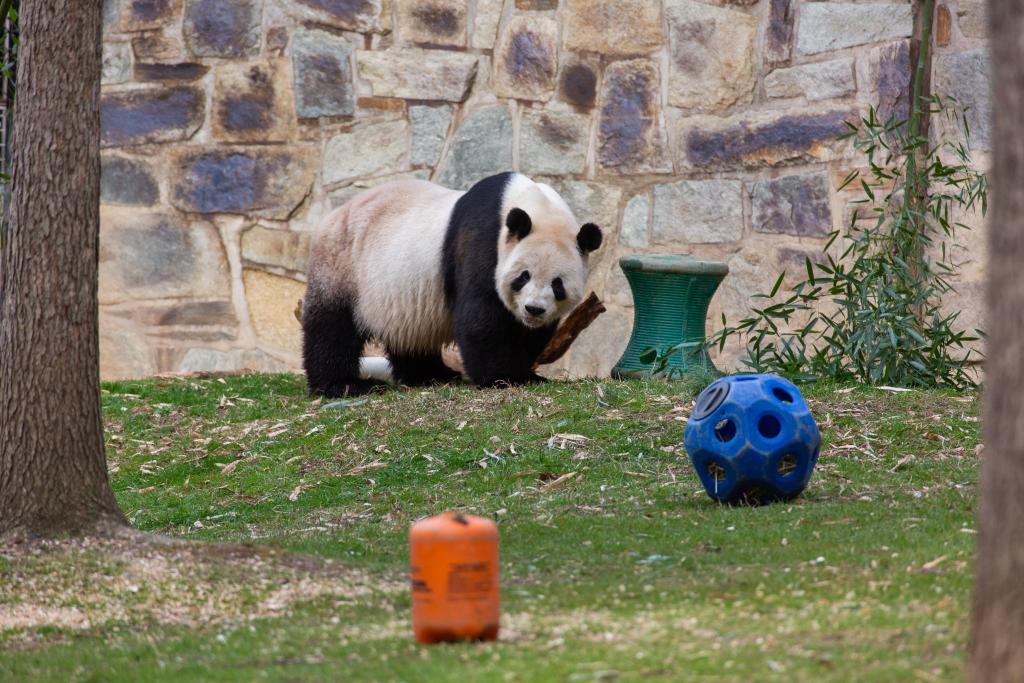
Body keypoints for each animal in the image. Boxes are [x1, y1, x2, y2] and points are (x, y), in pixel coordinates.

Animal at [301, 171, 598, 397]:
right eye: (523, 276)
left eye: (557, 284)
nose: (533, 310)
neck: (536, 206)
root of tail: (331, 217)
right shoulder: (483, 243)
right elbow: (482, 318)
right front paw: (502, 377)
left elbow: (530, 334)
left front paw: (526, 372)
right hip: (342, 266)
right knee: (332, 327)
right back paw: (344, 384)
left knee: (410, 335)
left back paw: (433, 374)